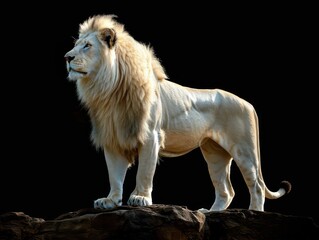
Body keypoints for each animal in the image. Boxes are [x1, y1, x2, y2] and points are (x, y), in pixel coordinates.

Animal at [63, 14, 292, 212]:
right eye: (76, 44)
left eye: (87, 45)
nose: (67, 57)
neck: (108, 90)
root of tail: (249, 104)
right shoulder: (113, 138)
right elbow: (114, 174)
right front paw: (110, 201)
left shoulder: (150, 135)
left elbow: (144, 171)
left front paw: (140, 198)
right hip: (214, 152)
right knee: (226, 190)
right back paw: (210, 213)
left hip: (244, 149)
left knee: (256, 185)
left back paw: (255, 212)